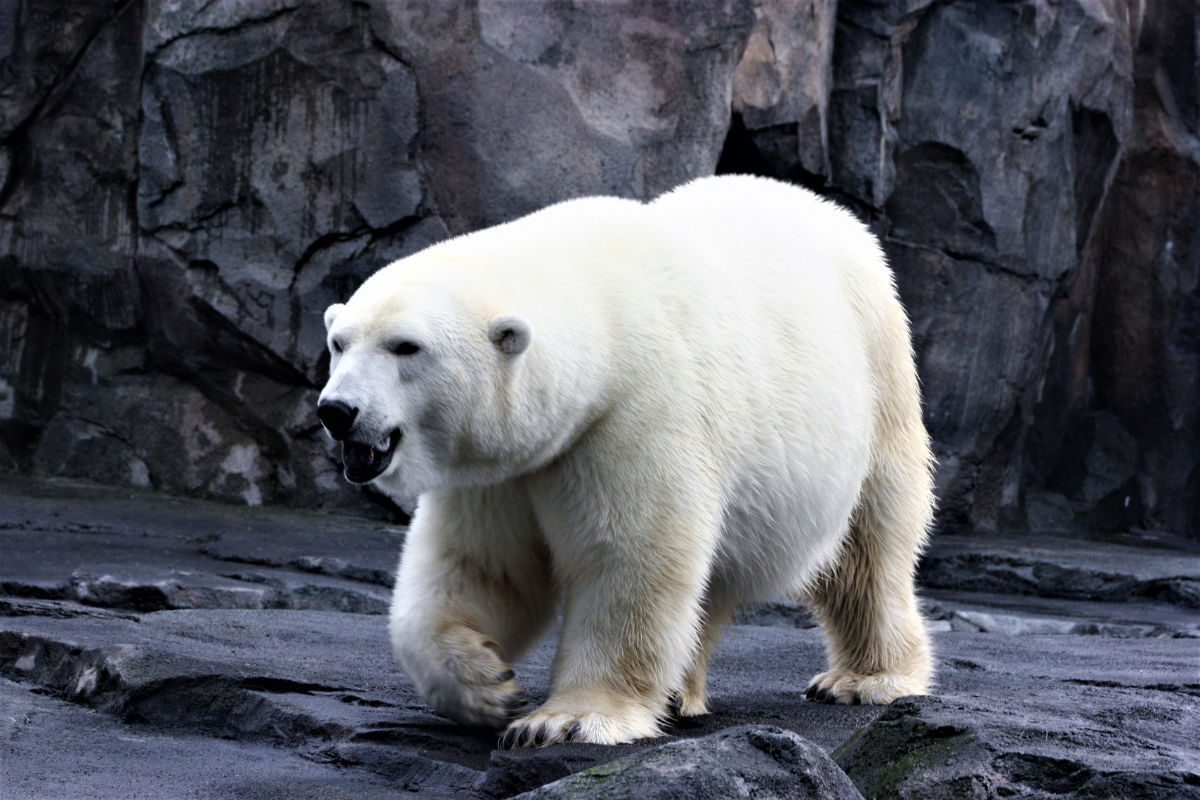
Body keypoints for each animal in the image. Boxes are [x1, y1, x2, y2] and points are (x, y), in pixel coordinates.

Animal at [319, 173, 936, 743]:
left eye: (406, 347)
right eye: (339, 342)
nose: (336, 410)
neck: (599, 317)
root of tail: (828, 209)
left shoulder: (632, 411)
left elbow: (628, 557)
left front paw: (565, 719)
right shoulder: (504, 468)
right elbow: (482, 565)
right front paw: (486, 683)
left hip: (877, 380)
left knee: (870, 547)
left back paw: (864, 679)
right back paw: (682, 693)